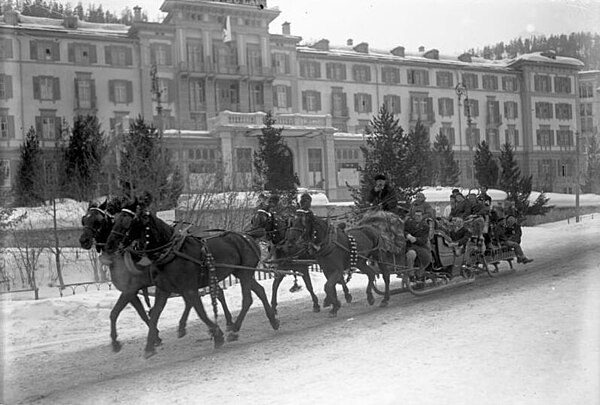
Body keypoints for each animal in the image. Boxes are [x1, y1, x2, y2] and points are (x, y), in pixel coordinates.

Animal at [81, 196, 234, 350]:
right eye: (84, 220)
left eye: (98, 221)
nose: (83, 240)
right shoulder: (133, 292)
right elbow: (142, 313)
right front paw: (155, 336)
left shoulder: (130, 289)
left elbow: (116, 313)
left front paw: (118, 341)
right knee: (204, 297)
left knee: (213, 295)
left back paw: (226, 323)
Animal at [108, 205, 282, 356]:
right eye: (114, 220)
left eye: (127, 222)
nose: (111, 244)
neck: (171, 252)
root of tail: (248, 236)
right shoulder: (163, 290)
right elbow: (154, 315)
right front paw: (150, 346)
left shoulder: (188, 288)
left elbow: (200, 312)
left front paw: (217, 335)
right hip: (240, 272)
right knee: (260, 290)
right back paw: (272, 320)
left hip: (245, 273)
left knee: (247, 299)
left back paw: (234, 329)